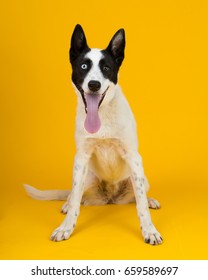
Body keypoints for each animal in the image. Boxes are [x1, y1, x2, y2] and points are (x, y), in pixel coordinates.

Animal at [24, 24, 163, 245]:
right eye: (83, 67)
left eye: (106, 68)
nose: (94, 85)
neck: (102, 115)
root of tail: (110, 198)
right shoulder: (81, 157)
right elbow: (75, 203)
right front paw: (65, 228)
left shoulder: (133, 157)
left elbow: (140, 204)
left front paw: (149, 230)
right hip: (87, 176)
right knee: (75, 194)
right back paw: (67, 203)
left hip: (141, 177)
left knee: (137, 195)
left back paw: (150, 200)